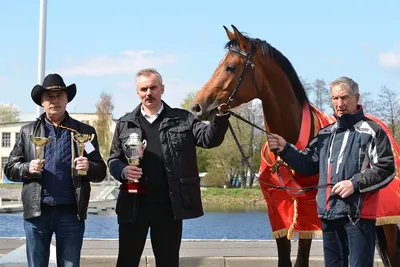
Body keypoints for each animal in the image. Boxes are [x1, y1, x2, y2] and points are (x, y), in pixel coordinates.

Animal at [191, 25, 400, 267]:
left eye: (230, 67)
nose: (197, 107)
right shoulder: (278, 210)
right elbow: (284, 256)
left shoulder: (309, 211)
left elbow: (301, 258)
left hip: (388, 220)